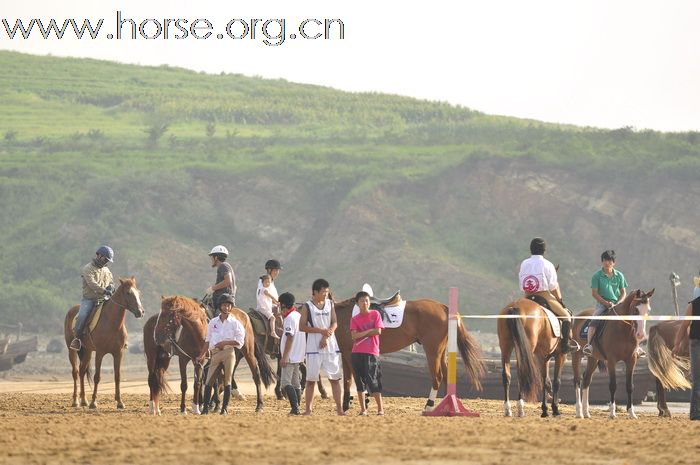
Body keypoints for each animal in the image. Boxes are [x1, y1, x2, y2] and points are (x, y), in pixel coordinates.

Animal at [63, 278, 144, 408]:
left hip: (87, 351)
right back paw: (76, 401)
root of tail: (71, 311)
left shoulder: (118, 353)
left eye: (138, 292)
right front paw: (93, 402)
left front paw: (120, 402)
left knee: (82, 371)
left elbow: (117, 377)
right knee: (75, 372)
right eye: (128, 293)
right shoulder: (100, 353)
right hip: (72, 350)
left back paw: (84, 400)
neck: (112, 324)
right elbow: (97, 377)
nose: (140, 312)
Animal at [336, 298, 484, 410]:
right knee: (446, 377)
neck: (342, 315)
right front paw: (347, 404)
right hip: (441, 353)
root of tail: (443, 307)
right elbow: (347, 379)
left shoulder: (350, 354)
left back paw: (429, 405)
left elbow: (356, 379)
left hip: (432, 351)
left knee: (437, 377)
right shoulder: (345, 354)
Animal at [572, 288, 652, 418]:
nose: (641, 334)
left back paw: (586, 411)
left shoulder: (631, 360)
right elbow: (613, 385)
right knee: (577, 380)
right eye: (636, 309)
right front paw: (612, 412)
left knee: (586, 379)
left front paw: (631, 413)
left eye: (648, 310)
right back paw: (579, 412)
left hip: (593, 358)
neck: (623, 330)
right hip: (576, 355)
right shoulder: (611, 360)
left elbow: (630, 386)